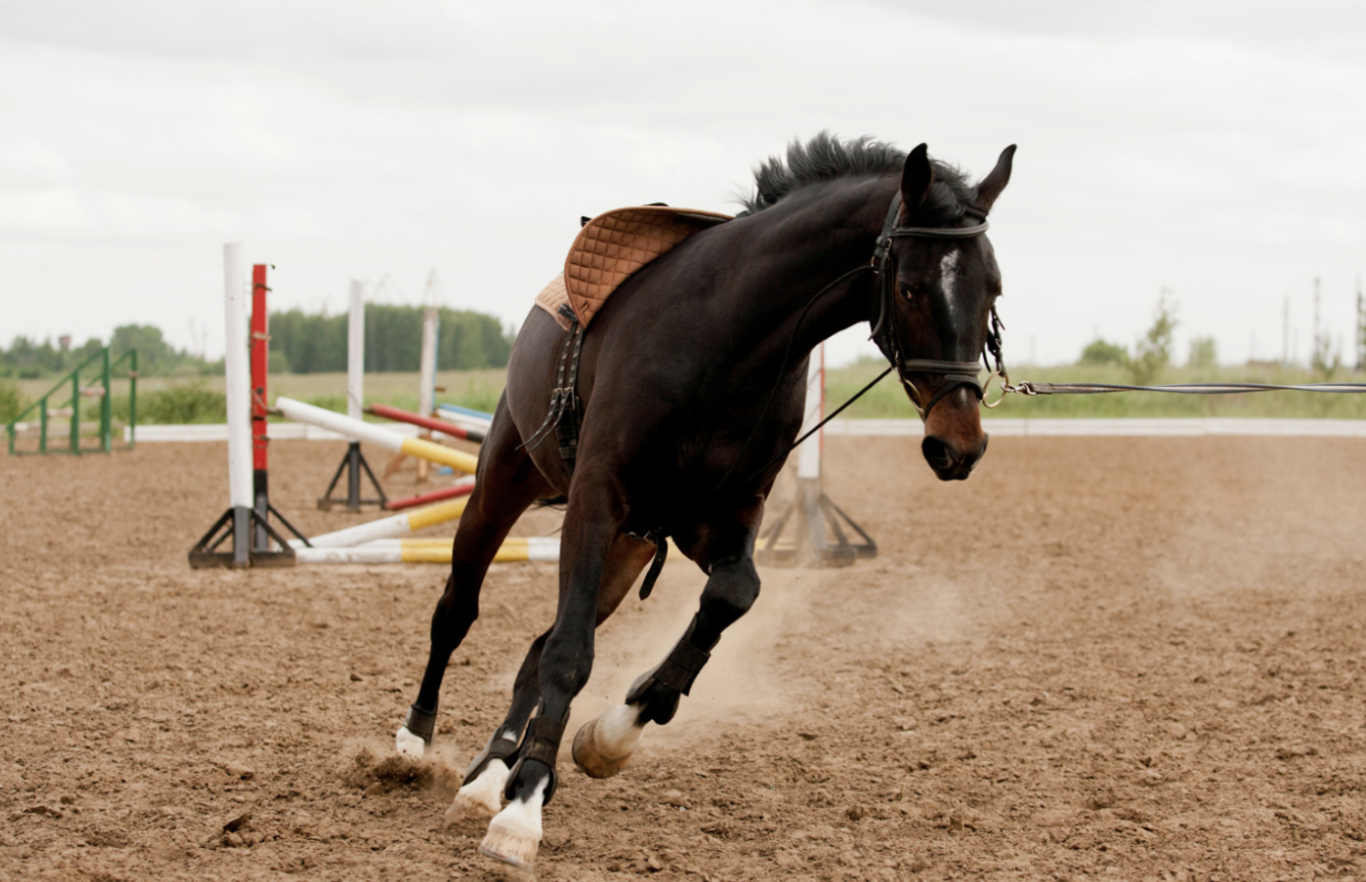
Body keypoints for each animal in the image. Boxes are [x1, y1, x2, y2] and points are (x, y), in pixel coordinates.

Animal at [395, 132, 1015, 869]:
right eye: (912, 288)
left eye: (993, 289)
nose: (961, 444)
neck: (728, 336)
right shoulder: (596, 502)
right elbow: (570, 654)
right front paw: (522, 813)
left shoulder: (720, 517)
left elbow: (729, 597)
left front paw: (613, 733)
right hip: (503, 486)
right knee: (457, 612)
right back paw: (417, 745)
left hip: (628, 551)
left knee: (535, 649)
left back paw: (491, 774)